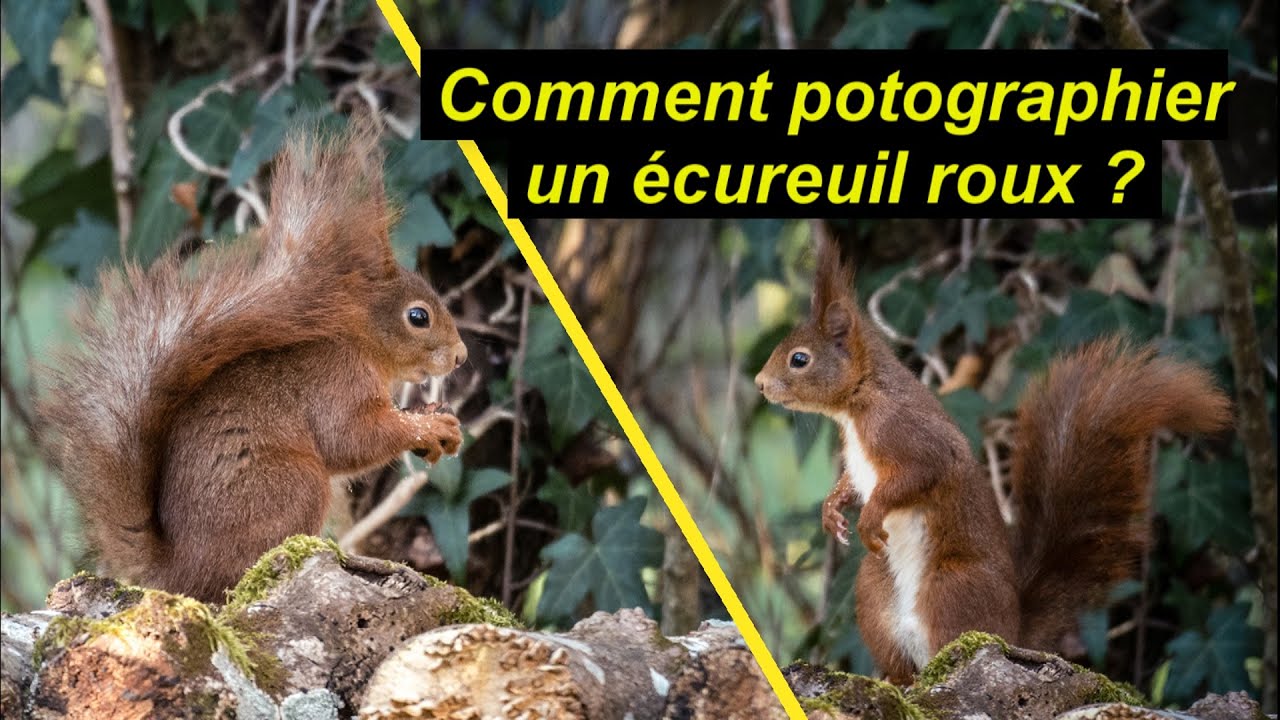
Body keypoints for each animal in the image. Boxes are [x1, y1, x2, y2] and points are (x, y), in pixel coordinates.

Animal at [40, 126, 469, 603]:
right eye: (418, 317)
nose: (461, 356)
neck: (358, 342)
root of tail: (179, 571)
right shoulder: (337, 380)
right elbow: (350, 438)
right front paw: (428, 426)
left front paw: (433, 418)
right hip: (294, 485)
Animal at [754, 234, 1232, 684]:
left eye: (800, 359)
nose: (759, 383)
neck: (858, 402)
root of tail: (1011, 632)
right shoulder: (858, 458)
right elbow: (853, 484)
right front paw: (832, 510)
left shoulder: (908, 434)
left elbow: (917, 476)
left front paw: (870, 516)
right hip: (874, 592)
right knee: (903, 660)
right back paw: (896, 680)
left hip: (951, 586)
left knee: (952, 643)